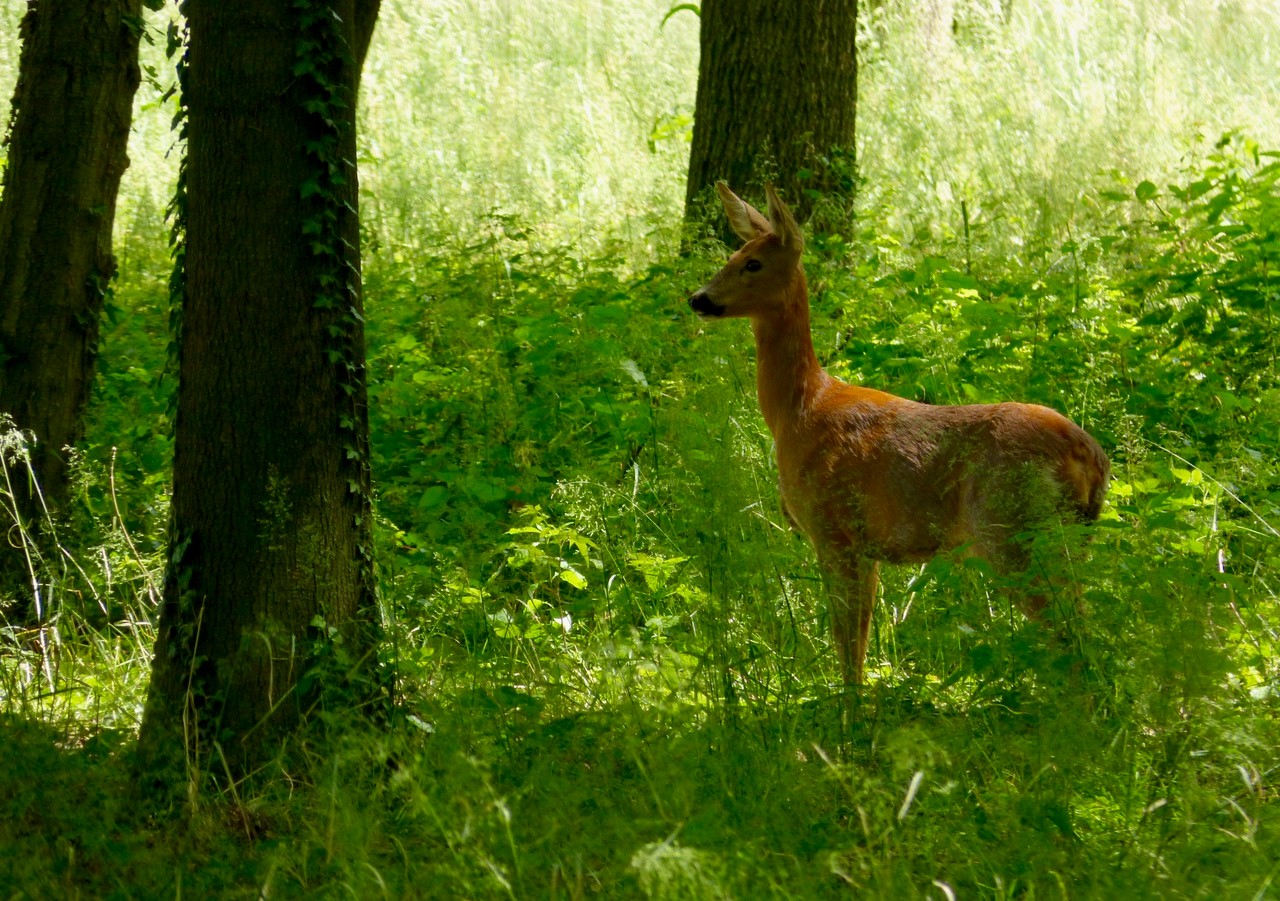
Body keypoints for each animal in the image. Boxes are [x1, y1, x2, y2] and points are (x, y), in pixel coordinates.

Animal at [691, 184, 1111, 691]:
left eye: (752, 263)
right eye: (732, 254)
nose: (698, 298)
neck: (800, 410)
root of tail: (1090, 455)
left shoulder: (833, 529)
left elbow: (846, 644)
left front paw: (850, 710)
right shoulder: (866, 545)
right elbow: (860, 639)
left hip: (1014, 531)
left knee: (1072, 637)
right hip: (1068, 537)